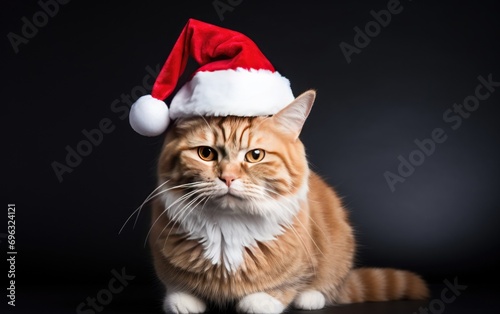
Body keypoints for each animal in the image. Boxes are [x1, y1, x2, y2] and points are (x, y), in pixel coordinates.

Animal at [149, 89, 430, 312]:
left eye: (255, 156)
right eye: (206, 153)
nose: (228, 177)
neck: (227, 230)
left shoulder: (304, 262)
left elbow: (286, 285)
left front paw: (261, 300)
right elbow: (175, 284)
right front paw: (184, 298)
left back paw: (311, 298)